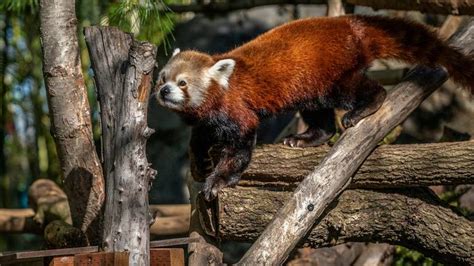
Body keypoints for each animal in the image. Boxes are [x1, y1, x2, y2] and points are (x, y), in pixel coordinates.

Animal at [155, 13, 474, 198]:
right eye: (162, 78)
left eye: (182, 83)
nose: (164, 90)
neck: (220, 93)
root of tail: (352, 25)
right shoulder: (207, 119)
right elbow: (200, 137)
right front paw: (200, 162)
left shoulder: (237, 110)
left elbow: (240, 147)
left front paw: (218, 180)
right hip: (309, 88)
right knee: (320, 117)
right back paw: (305, 138)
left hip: (333, 76)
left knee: (358, 91)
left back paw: (366, 107)